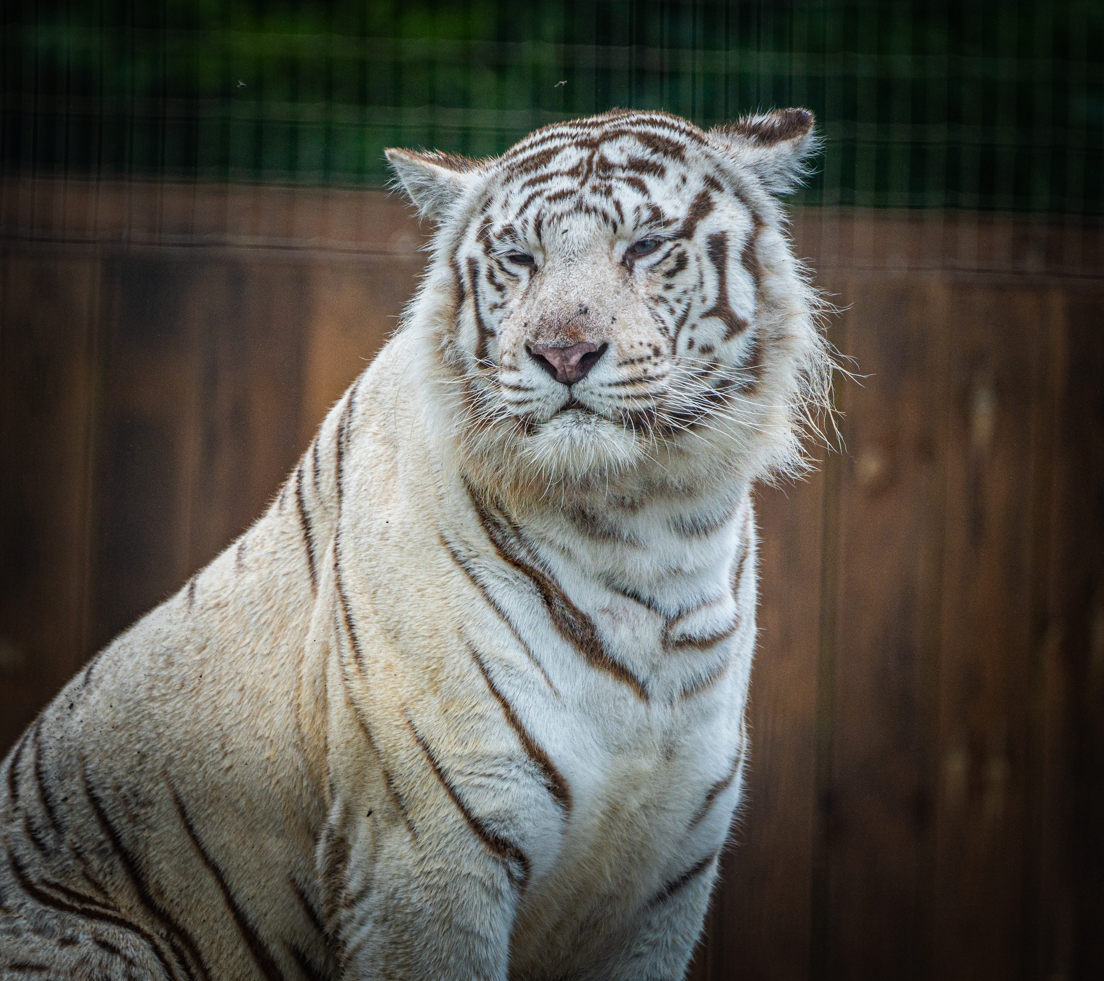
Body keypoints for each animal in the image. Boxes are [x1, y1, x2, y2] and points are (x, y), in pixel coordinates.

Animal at [0, 107, 830, 980]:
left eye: (644, 246)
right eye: (519, 258)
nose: (562, 353)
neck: (646, 530)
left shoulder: (662, 876)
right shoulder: (429, 844)